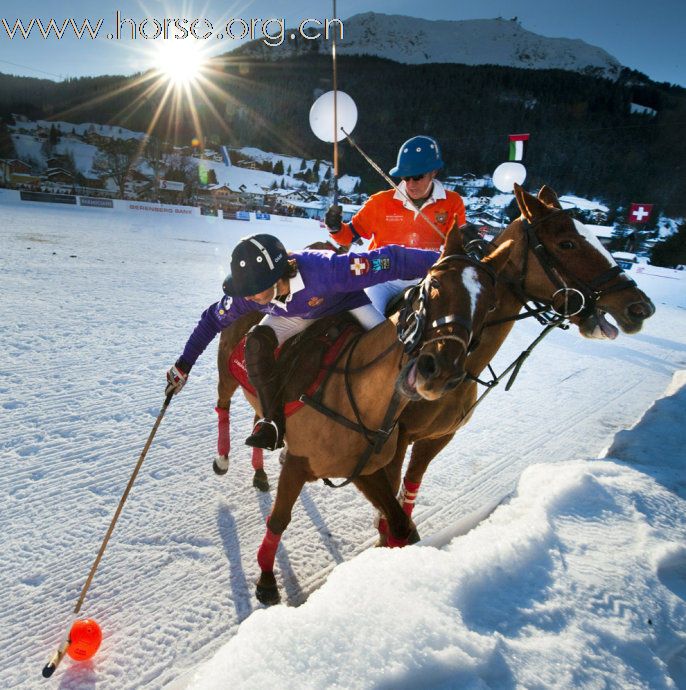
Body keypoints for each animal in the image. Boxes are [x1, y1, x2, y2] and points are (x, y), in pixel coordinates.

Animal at [234, 227, 512, 600]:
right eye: (433, 286)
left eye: (489, 305)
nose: (439, 371)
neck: (357, 395)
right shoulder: (299, 464)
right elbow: (279, 519)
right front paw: (266, 579)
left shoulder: (365, 469)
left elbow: (401, 525)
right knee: (258, 345)